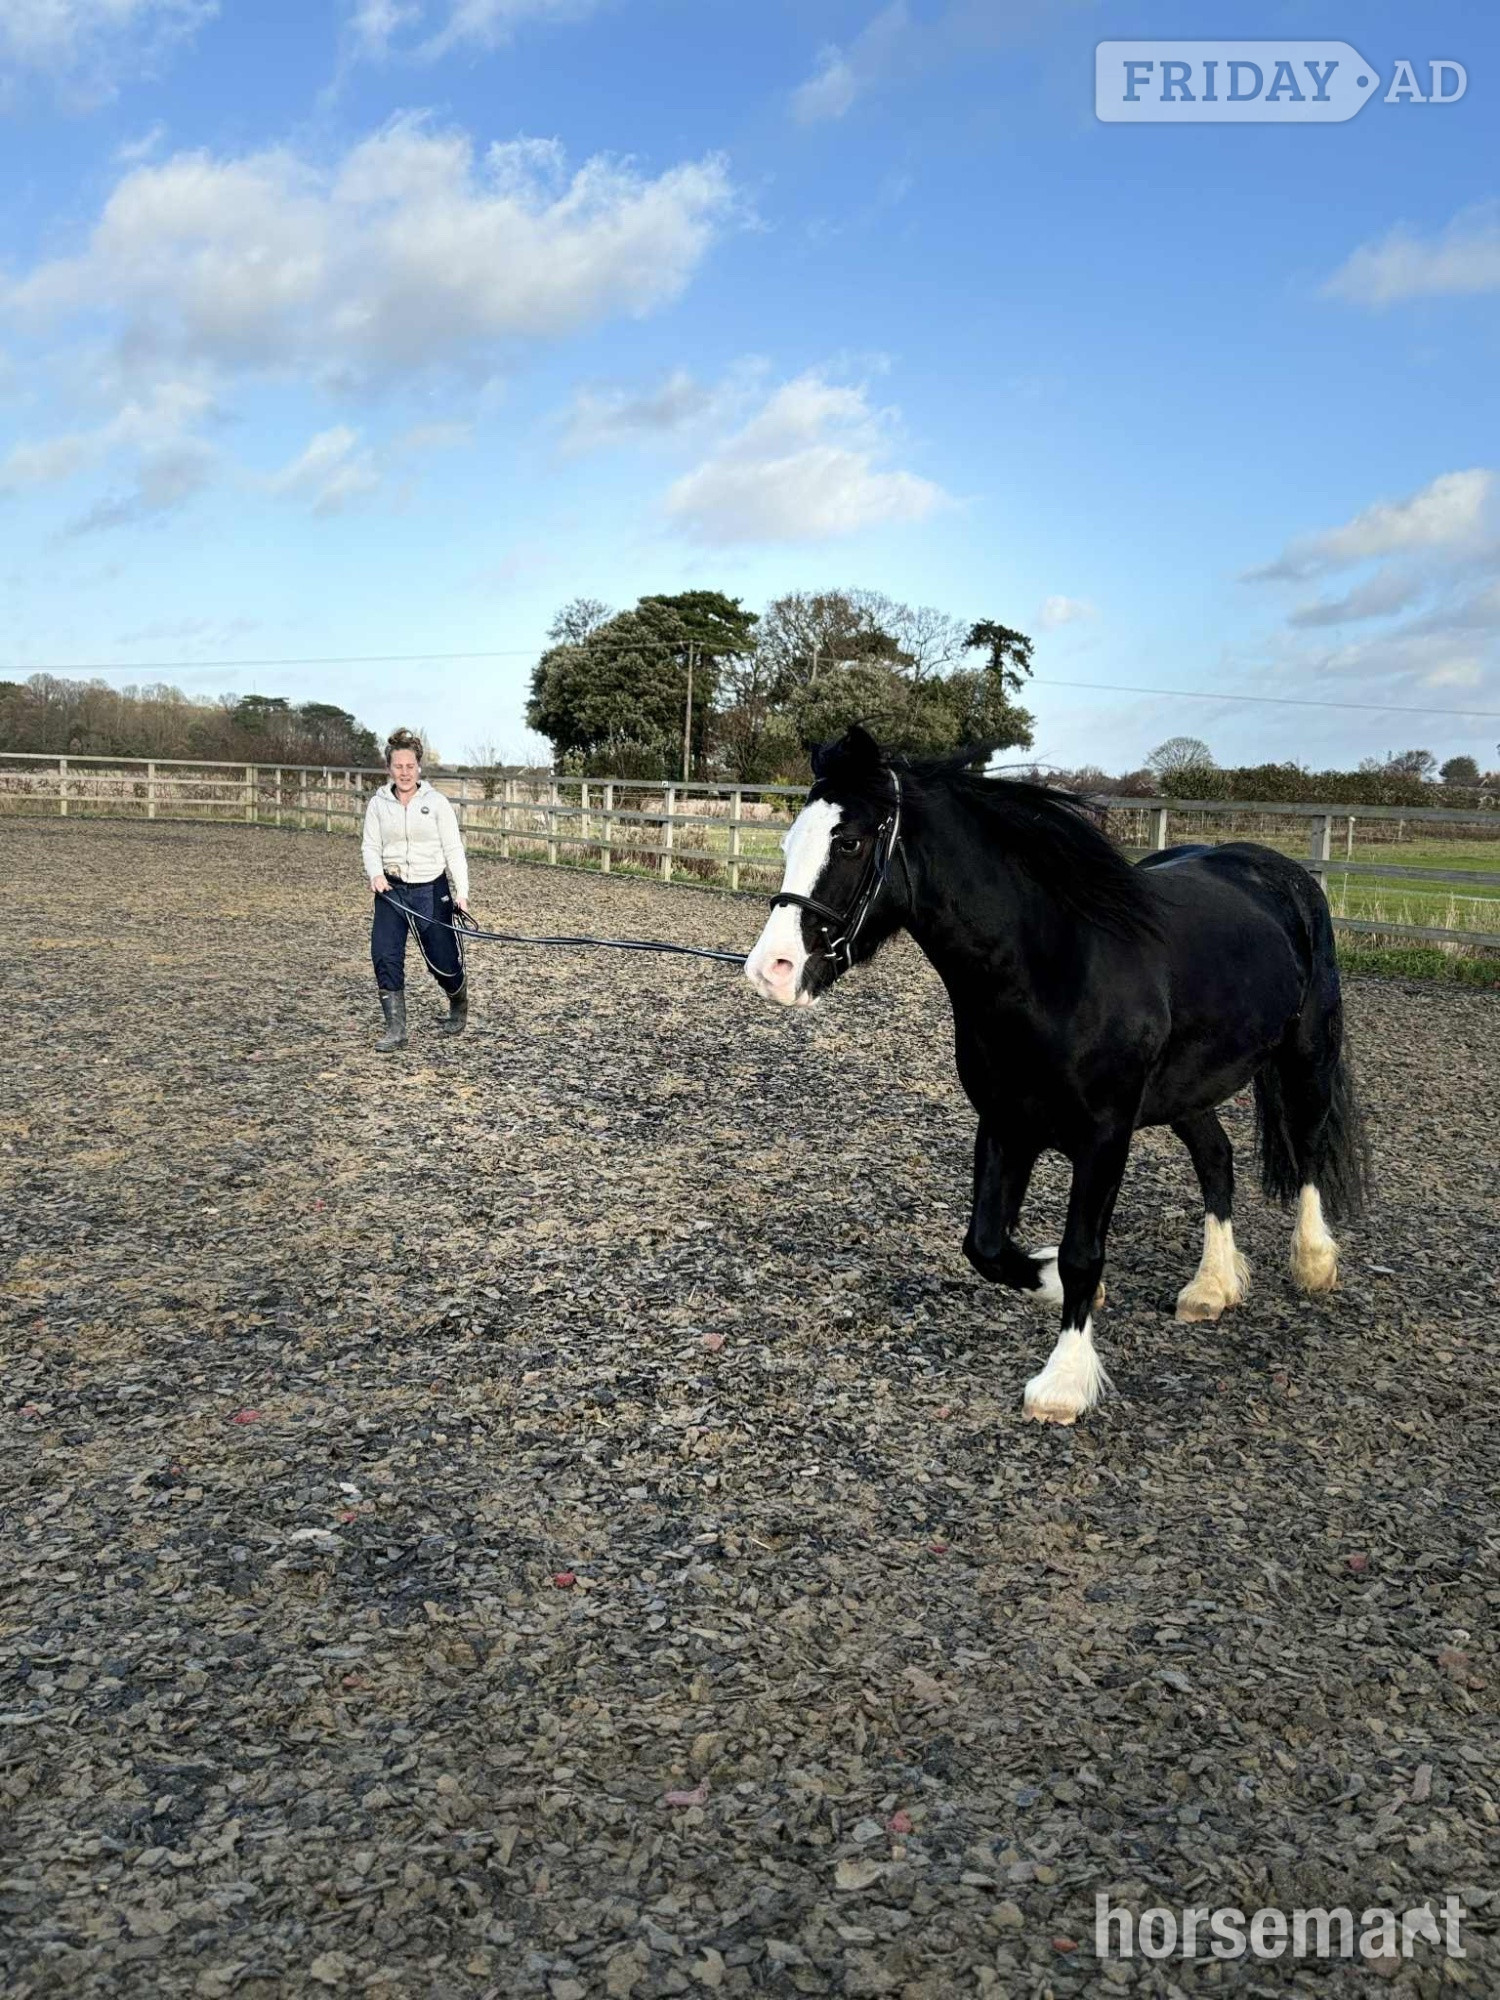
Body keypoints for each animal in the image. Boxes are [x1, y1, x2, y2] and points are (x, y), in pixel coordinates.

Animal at [744, 725, 1369, 1425]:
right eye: (787, 843)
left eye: (848, 842)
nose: (769, 969)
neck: (1054, 967)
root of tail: (1284, 875)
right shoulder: (1005, 1122)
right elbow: (985, 1245)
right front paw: (1046, 1281)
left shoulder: (1104, 1136)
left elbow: (1081, 1253)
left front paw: (1064, 1382)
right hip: (1186, 1092)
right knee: (1217, 1158)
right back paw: (1212, 1286)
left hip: (1307, 1055)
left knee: (1308, 1146)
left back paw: (1313, 1263)